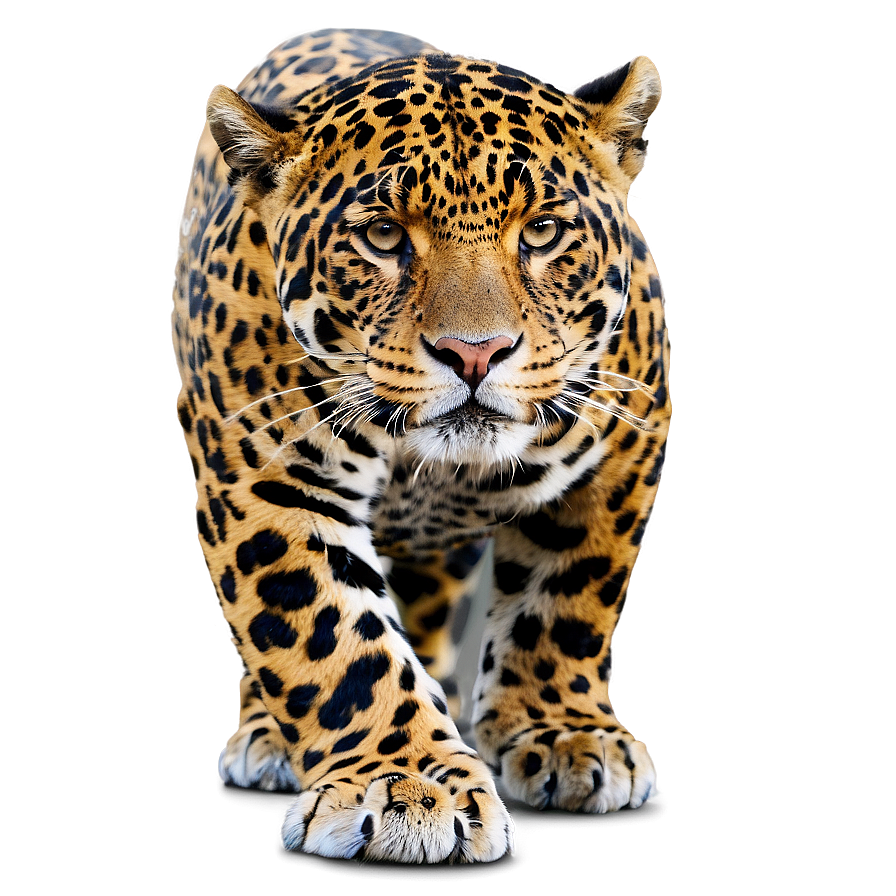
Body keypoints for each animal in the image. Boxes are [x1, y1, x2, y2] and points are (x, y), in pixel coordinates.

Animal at [173, 27, 670, 864]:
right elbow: (335, 640)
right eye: (382, 236)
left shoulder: (623, 443)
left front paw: (564, 736)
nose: (476, 353)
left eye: (542, 231)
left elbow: (565, 600)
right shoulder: (267, 482)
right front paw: (405, 783)